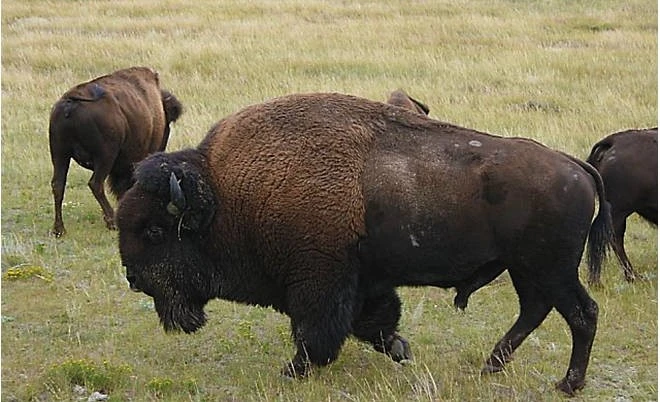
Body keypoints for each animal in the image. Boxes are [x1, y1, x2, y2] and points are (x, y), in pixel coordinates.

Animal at [48, 66, 183, 237]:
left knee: (58, 185)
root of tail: (70, 104)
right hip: (105, 156)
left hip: (60, 154)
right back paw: (112, 221)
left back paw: (59, 229)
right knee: (95, 184)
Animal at [116, 93, 613, 395]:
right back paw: (492, 366)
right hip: (527, 270)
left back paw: (567, 384)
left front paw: (293, 371)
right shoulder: (363, 281)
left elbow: (316, 332)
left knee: (581, 314)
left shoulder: (320, 282)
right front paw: (400, 349)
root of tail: (576, 166)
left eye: (154, 231)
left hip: (549, 269)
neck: (226, 194)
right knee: (535, 311)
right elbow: (372, 321)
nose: (134, 279)